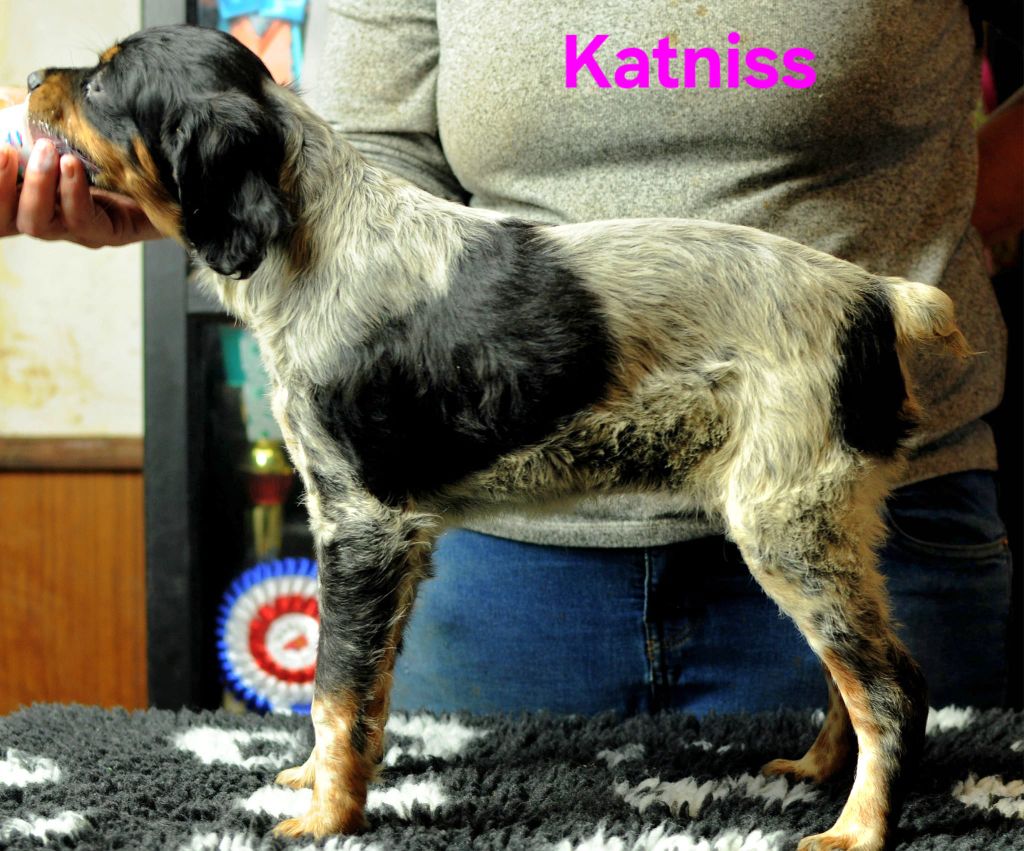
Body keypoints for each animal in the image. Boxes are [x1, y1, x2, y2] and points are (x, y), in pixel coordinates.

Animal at [25, 25, 970, 850]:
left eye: (103, 82)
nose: (32, 74)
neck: (313, 237)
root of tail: (875, 296)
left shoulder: (361, 522)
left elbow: (335, 684)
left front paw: (326, 818)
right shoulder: (392, 537)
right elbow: (367, 688)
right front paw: (324, 779)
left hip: (787, 521)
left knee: (892, 686)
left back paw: (857, 828)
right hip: (822, 525)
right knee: (853, 674)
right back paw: (815, 770)